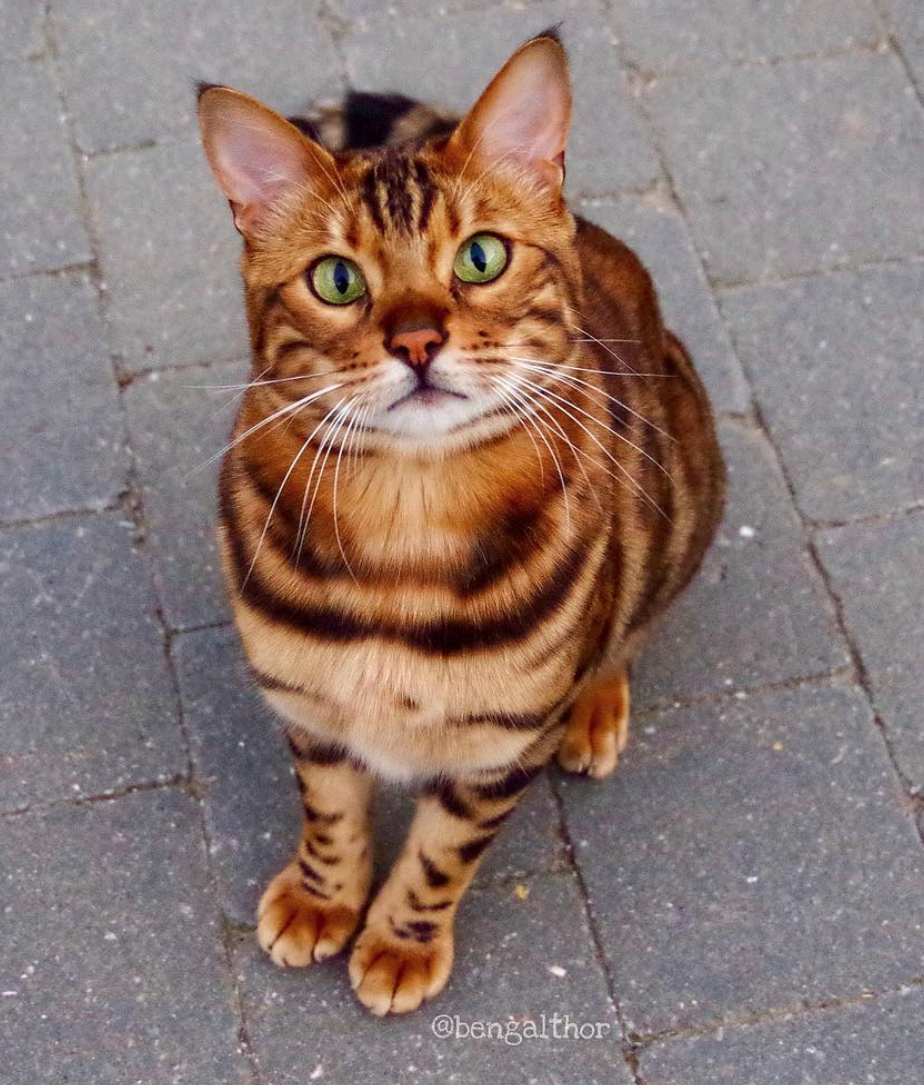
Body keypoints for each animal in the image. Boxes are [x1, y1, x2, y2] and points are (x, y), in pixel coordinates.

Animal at [196, 31, 728, 1015]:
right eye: (337, 279)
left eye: (480, 258)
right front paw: (323, 899)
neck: (407, 521)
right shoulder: (307, 708)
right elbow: (329, 814)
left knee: (628, 628)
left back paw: (597, 706)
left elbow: (439, 858)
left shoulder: (498, 748)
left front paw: (400, 944)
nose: (416, 341)